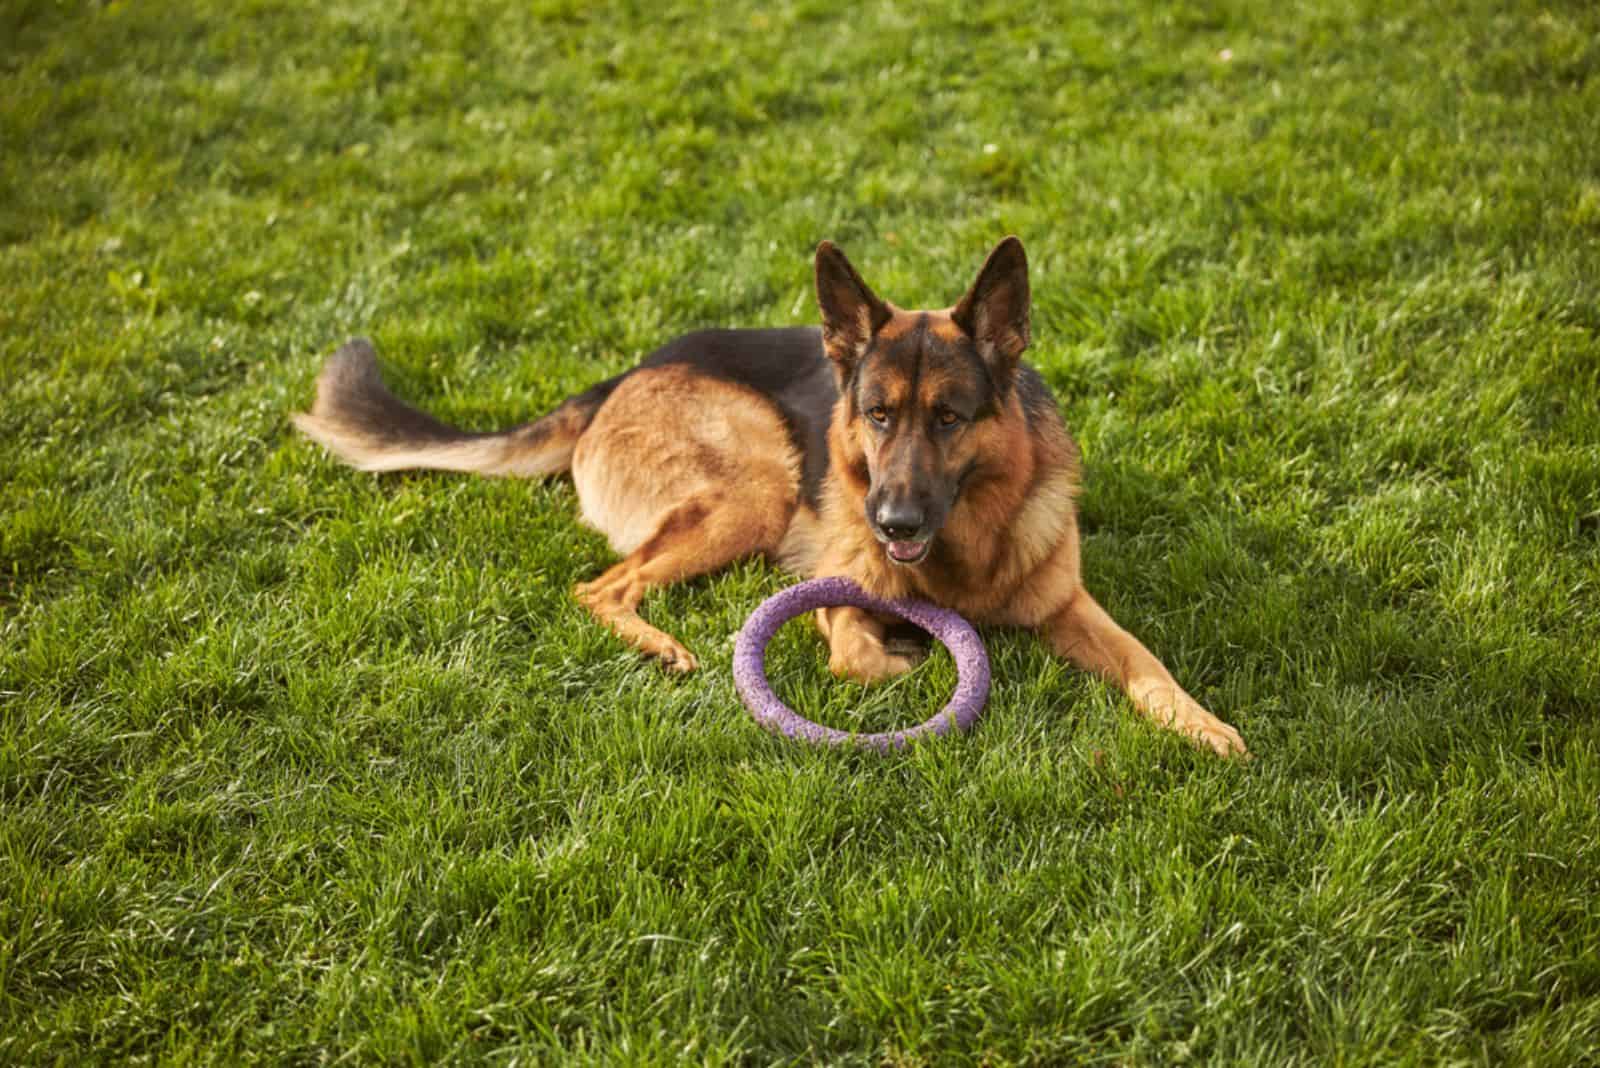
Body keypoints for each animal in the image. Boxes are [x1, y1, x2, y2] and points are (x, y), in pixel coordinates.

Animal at [297, 241, 1248, 757]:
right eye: (877, 415)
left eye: (948, 417)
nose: (894, 521)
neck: (961, 555)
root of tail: (620, 378)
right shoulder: (837, 581)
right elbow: (853, 653)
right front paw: (901, 656)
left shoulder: (1072, 608)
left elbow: (1148, 668)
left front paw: (1205, 727)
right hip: (756, 487)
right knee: (601, 587)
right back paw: (664, 647)